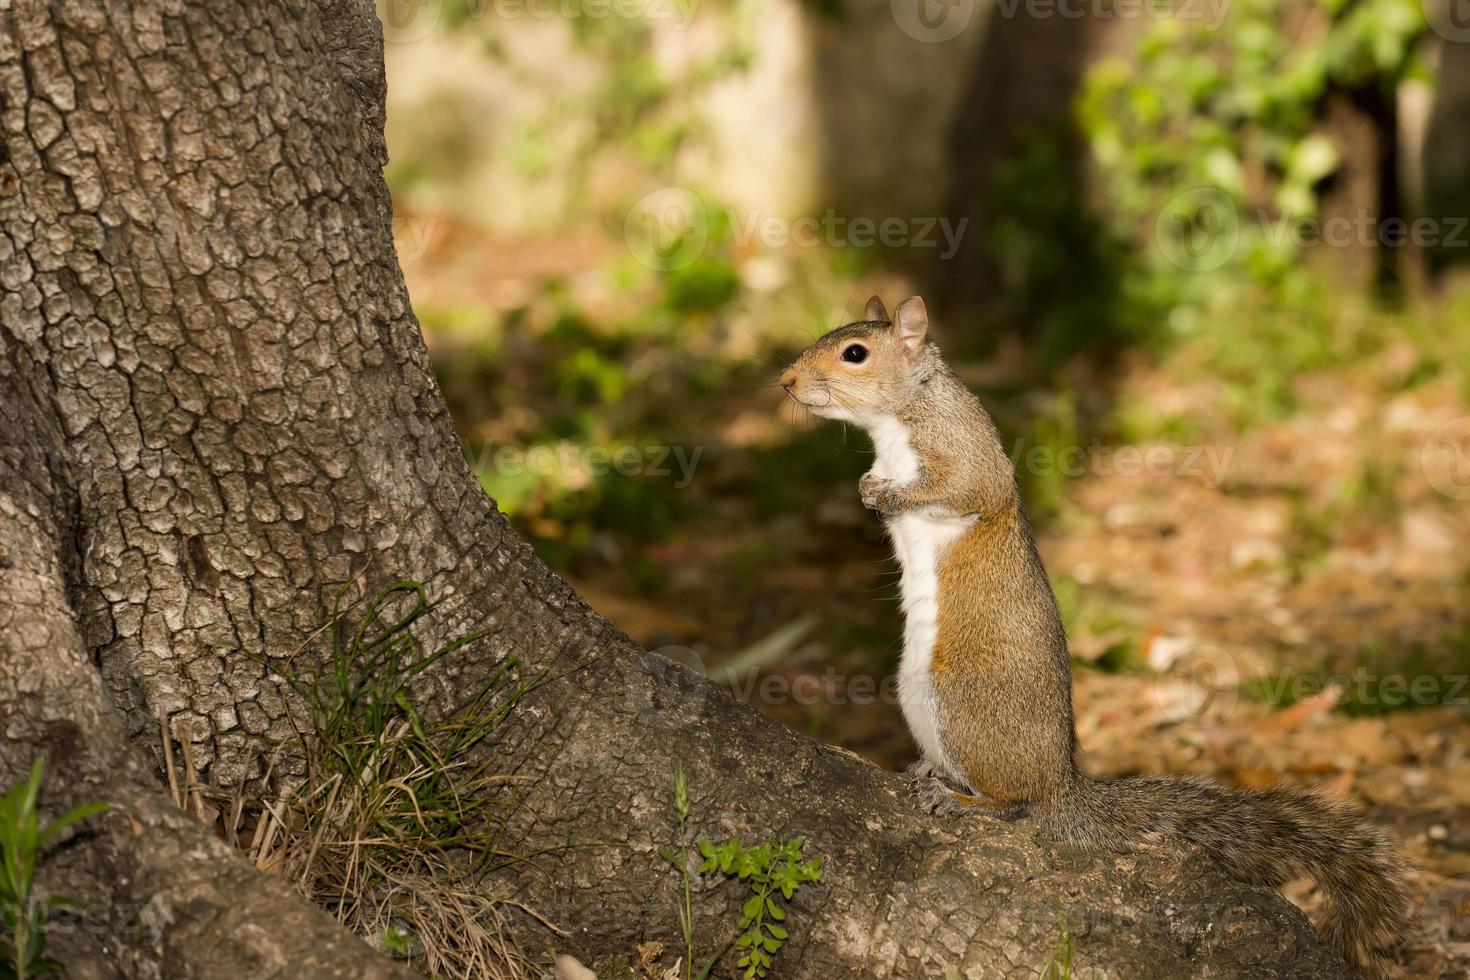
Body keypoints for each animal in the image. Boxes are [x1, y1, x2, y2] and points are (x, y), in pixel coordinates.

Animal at [782, 295, 1411, 975]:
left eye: (855, 353)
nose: (786, 382)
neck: (899, 419)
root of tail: (1062, 781)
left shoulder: (963, 448)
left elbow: (965, 489)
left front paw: (890, 493)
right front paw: (868, 489)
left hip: (964, 703)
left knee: (1016, 802)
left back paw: (967, 800)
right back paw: (929, 771)